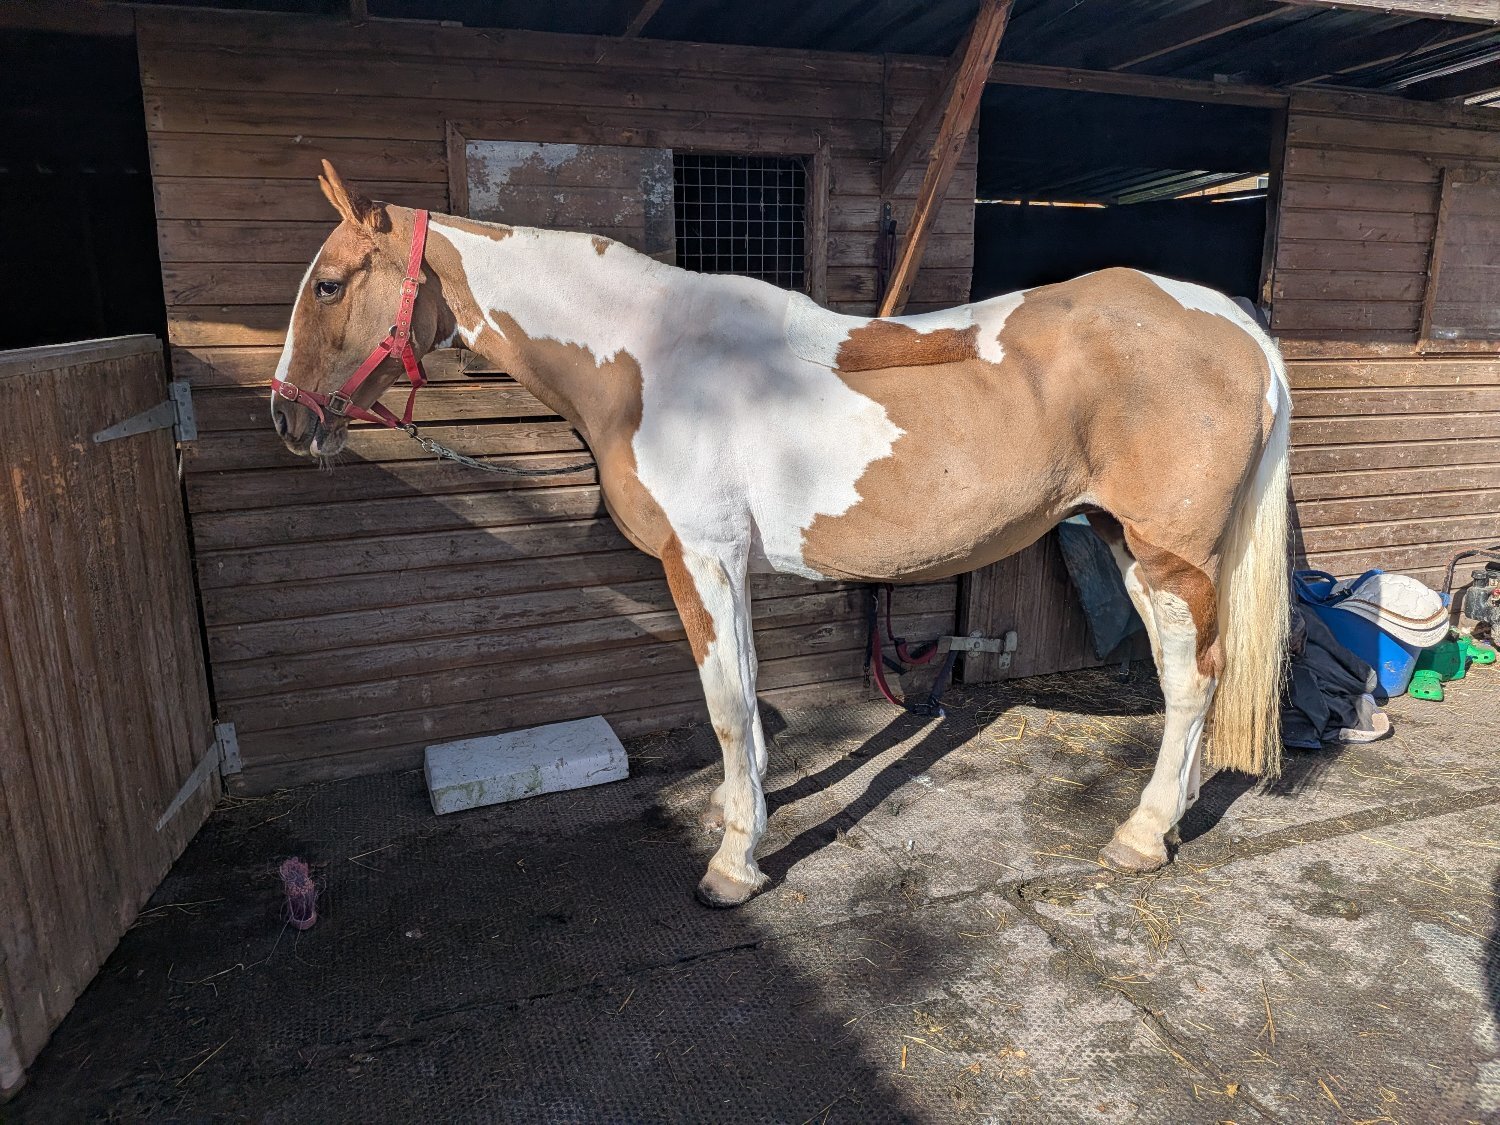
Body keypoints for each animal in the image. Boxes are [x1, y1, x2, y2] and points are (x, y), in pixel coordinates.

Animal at [270, 161, 1290, 907]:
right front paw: (744, 812)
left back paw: (1141, 834)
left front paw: (732, 866)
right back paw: (1172, 811)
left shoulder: (702, 558)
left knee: (1192, 678)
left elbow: (727, 704)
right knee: (1191, 672)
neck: (649, 357)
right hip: (1130, 544)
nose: (288, 419)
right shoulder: (729, 567)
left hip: (1169, 553)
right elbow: (745, 701)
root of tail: (1239, 326)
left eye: (328, 285)